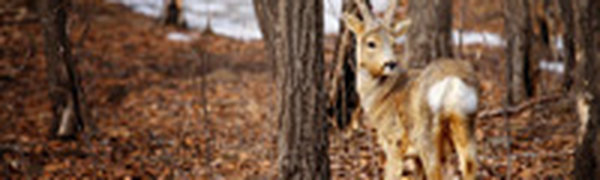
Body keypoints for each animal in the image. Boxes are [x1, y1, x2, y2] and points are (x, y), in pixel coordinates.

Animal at [344, 0, 480, 179]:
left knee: (436, 173)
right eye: (371, 43)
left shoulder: (393, 140)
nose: (391, 63)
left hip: (425, 134)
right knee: (470, 166)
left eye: (393, 43)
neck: (381, 97)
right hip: (466, 122)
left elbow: (392, 174)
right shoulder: (415, 157)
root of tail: (452, 81)